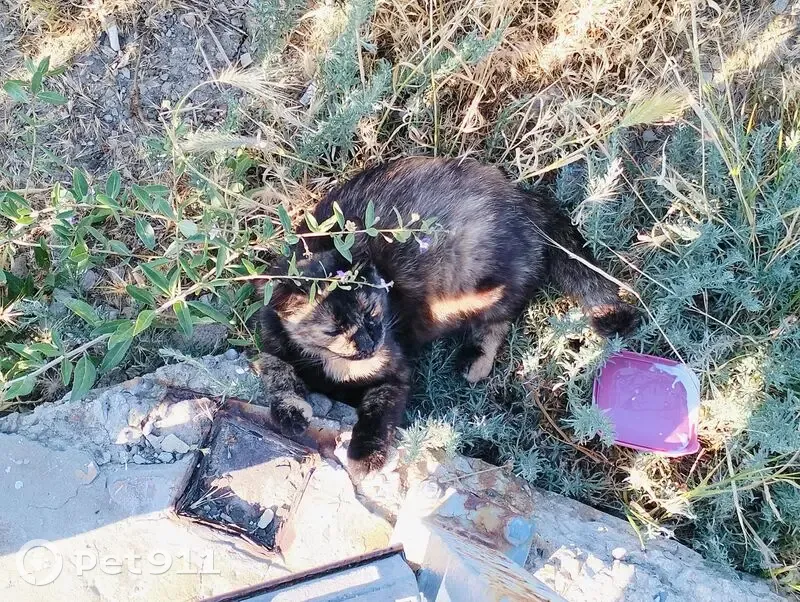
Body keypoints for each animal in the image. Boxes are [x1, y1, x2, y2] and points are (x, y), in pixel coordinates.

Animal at [257, 157, 638, 474]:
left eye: (372, 312)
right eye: (334, 329)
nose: (369, 344)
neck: (334, 367)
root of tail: (522, 197)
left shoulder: (395, 371)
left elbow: (378, 410)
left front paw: (365, 455)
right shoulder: (271, 343)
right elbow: (277, 373)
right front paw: (289, 411)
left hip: (474, 277)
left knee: (502, 313)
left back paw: (475, 360)